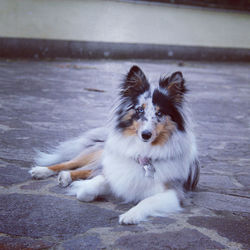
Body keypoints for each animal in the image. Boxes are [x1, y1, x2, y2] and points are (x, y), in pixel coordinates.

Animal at [28, 65, 199, 225]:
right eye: (139, 110)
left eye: (159, 113)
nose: (146, 135)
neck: (144, 153)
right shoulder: (116, 174)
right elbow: (86, 191)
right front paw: (81, 188)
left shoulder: (174, 193)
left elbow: (147, 201)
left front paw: (130, 215)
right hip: (98, 153)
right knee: (71, 163)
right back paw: (42, 171)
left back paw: (65, 176)